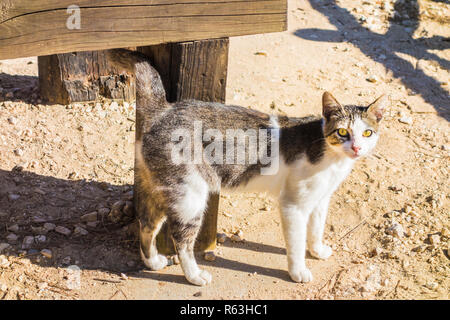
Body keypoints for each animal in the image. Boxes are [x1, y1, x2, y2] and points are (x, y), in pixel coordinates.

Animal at [105, 49, 386, 284]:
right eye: (342, 132)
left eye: (367, 133)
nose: (357, 148)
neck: (331, 157)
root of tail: (164, 111)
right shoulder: (293, 205)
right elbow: (296, 244)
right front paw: (298, 272)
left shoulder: (320, 199)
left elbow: (316, 229)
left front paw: (317, 250)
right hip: (189, 196)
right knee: (181, 241)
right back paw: (194, 275)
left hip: (161, 188)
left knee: (146, 224)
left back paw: (152, 261)